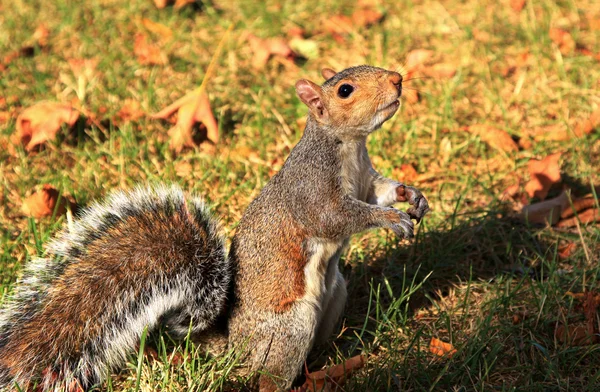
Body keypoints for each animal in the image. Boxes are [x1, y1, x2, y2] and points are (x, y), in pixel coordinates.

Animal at [0, 66, 432, 390]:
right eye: (345, 90)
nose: (397, 78)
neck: (347, 146)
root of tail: (234, 348)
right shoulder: (312, 193)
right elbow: (339, 217)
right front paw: (389, 219)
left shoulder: (366, 180)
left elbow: (382, 191)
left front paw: (412, 196)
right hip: (289, 328)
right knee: (267, 377)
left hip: (334, 296)